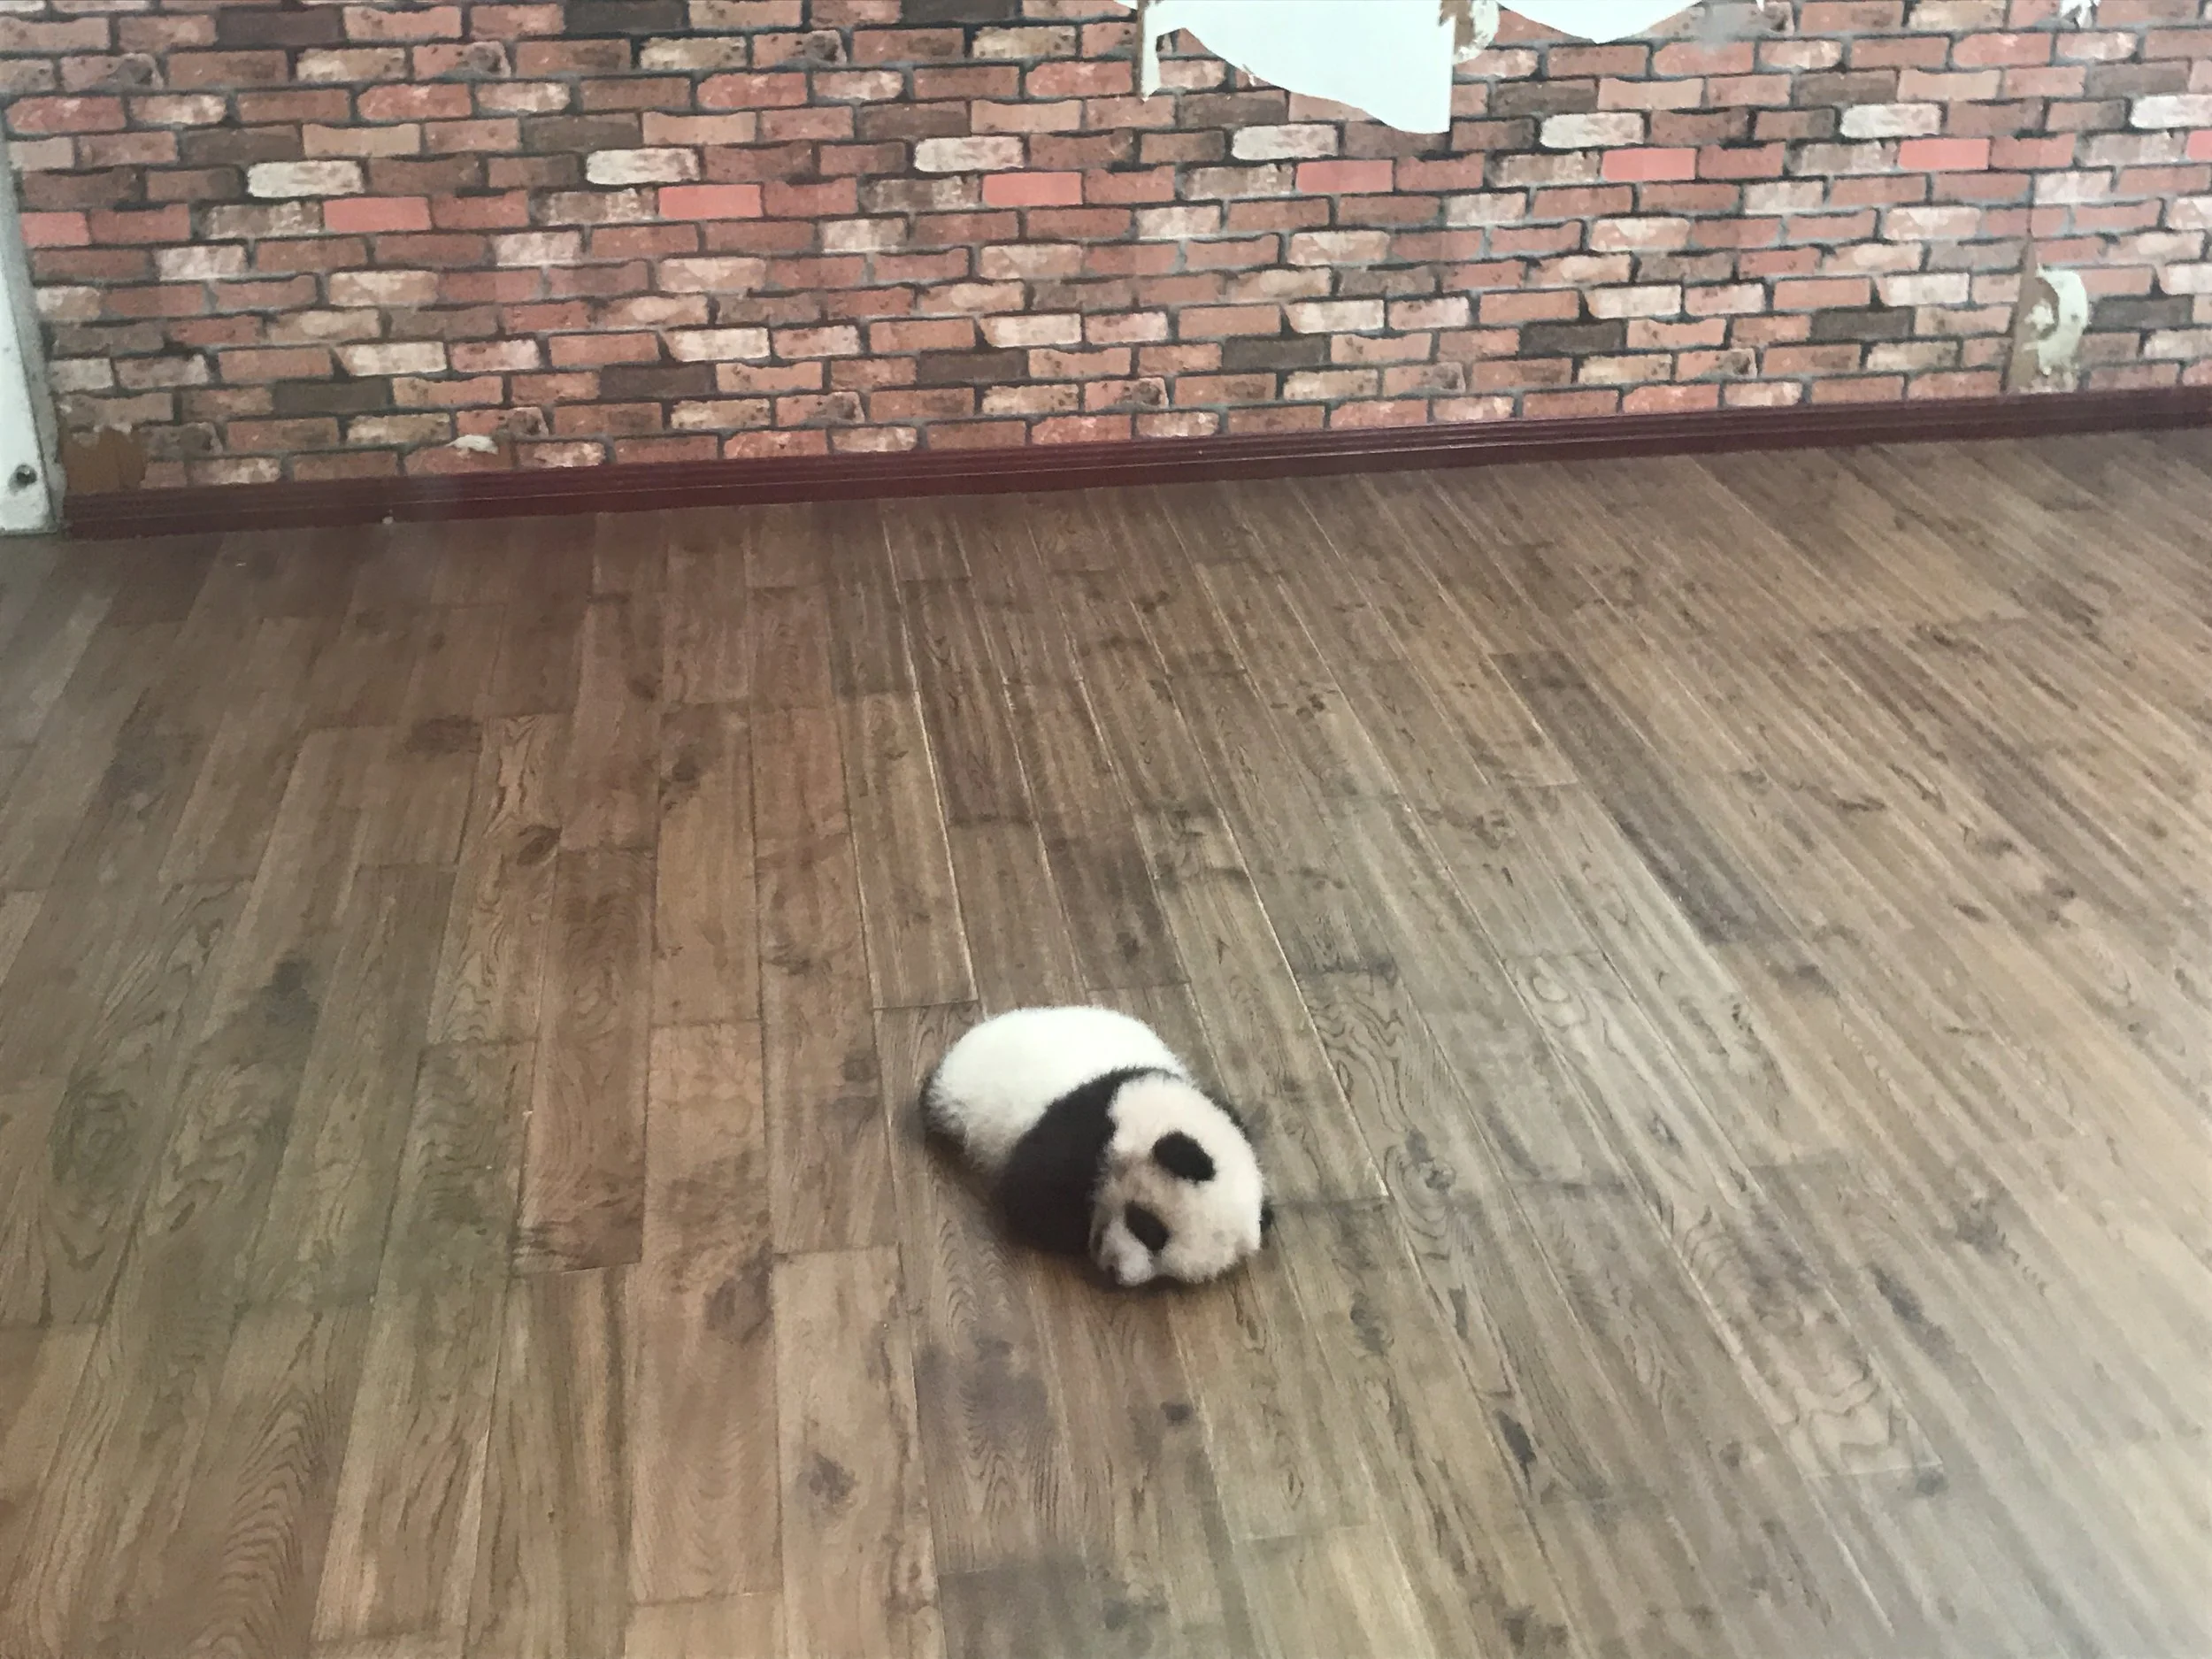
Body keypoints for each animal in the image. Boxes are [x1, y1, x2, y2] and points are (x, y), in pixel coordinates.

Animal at [920, 1005, 1273, 1288]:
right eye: (1149, 1227)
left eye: (1167, 1275)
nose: (1118, 1273)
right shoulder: (1086, 1125)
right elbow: (1030, 1195)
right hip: (962, 1093)